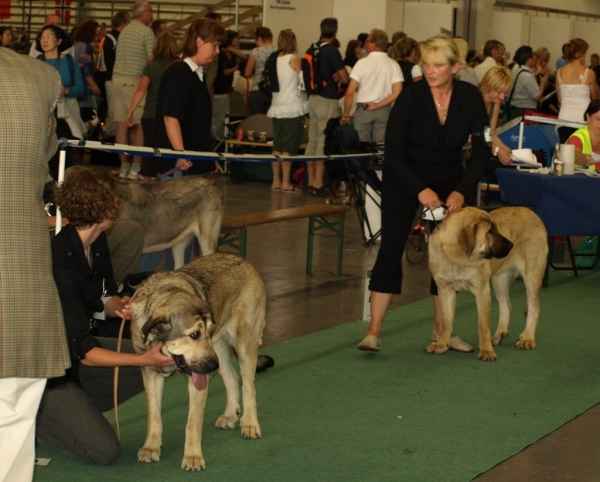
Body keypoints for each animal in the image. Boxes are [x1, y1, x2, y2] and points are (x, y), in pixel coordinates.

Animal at [132, 252, 274, 470]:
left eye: (207, 331)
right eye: (195, 334)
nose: (212, 367)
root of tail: (243, 260)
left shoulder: (199, 379)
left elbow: (193, 423)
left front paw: (192, 457)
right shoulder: (150, 374)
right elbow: (153, 415)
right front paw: (151, 448)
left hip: (241, 344)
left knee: (248, 385)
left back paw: (250, 423)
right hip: (218, 351)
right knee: (232, 378)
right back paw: (230, 415)